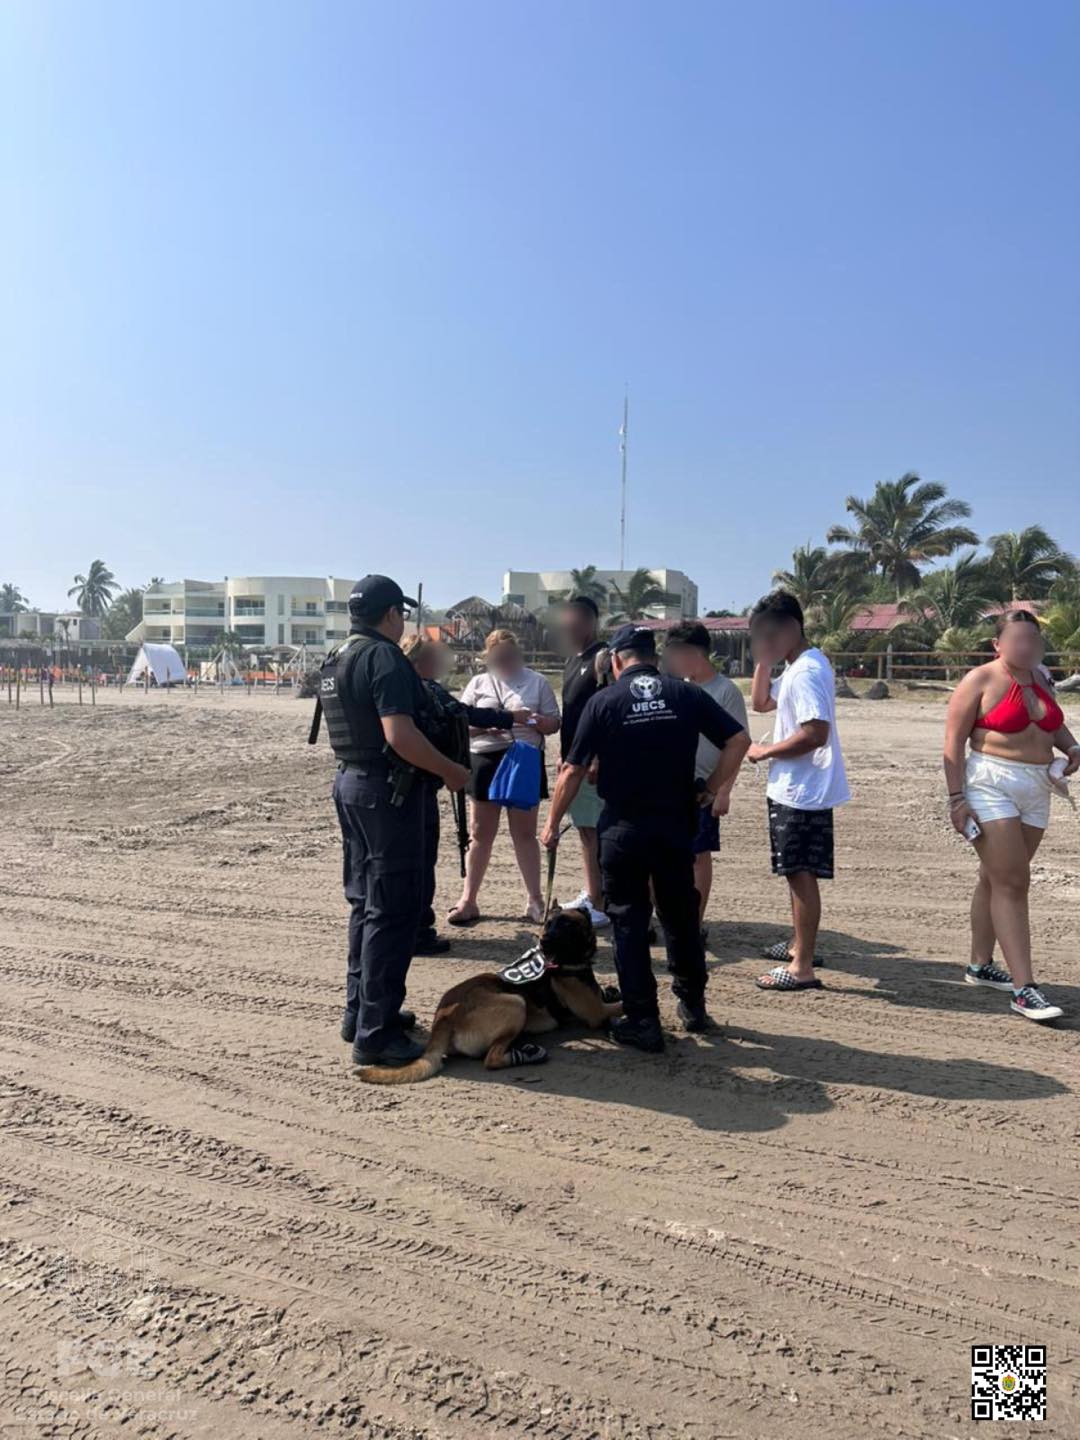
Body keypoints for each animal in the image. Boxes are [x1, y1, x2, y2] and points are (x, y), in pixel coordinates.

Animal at [357, 904, 622, 1082]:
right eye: (553, 924)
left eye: (566, 925)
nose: (544, 941)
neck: (561, 959)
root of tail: (444, 1018)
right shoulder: (596, 1013)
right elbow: (621, 1005)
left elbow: (610, 994)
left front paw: (611, 990)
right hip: (516, 1003)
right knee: (491, 1059)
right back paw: (525, 1056)